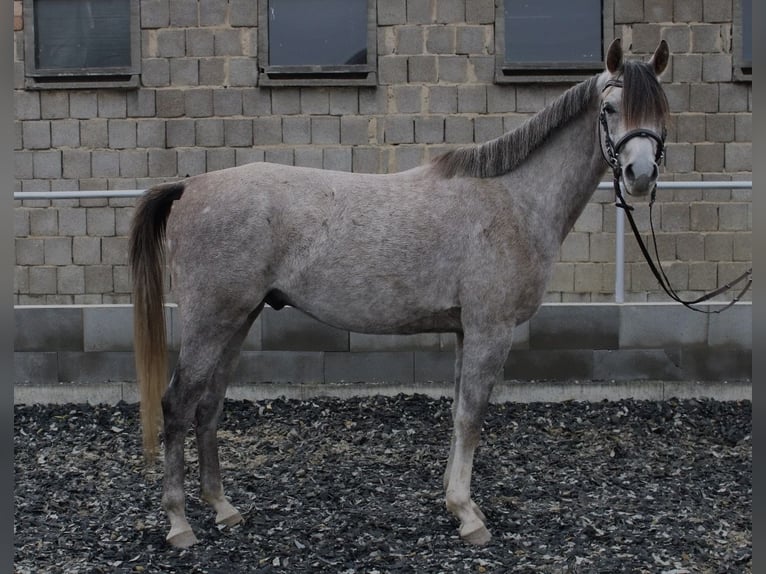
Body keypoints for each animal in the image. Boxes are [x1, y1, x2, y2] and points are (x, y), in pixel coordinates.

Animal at [130, 38, 670, 548]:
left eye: (662, 108)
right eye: (609, 108)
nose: (640, 176)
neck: (513, 200)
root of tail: (190, 186)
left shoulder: (466, 331)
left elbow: (457, 412)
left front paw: (455, 502)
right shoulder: (490, 330)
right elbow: (472, 416)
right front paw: (468, 515)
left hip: (238, 320)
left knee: (209, 405)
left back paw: (223, 508)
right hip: (211, 321)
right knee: (178, 405)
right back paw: (179, 523)